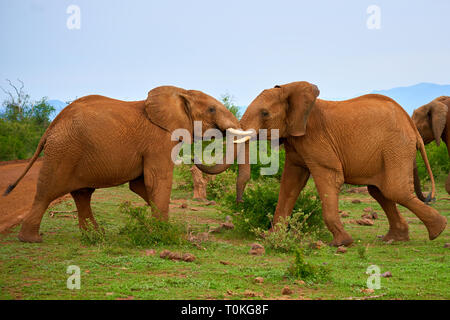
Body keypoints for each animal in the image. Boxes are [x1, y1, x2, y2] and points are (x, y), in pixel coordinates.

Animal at [1, 85, 248, 242]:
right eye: (212, 109)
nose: (194, 155)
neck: (180, 92)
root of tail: (50, 127)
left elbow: (141, 186)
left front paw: (164, 227)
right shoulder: (158, 141)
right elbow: (158, 181)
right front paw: (164, 232)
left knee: (82, 195)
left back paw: (95, 236)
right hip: (63, 152)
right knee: (47, 192)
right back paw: (31, 240)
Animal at [202, 81, 448, 246]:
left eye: (265, 113)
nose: (240, 203)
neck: (291, 90)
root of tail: (412, 127)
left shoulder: (315, 138)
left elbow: (329, 177)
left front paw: (341, 243)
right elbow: (290, 185)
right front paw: (272, 238)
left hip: (396, 146)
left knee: (394, 190)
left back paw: (437, 230)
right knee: (379, 191)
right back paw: (394, 238)